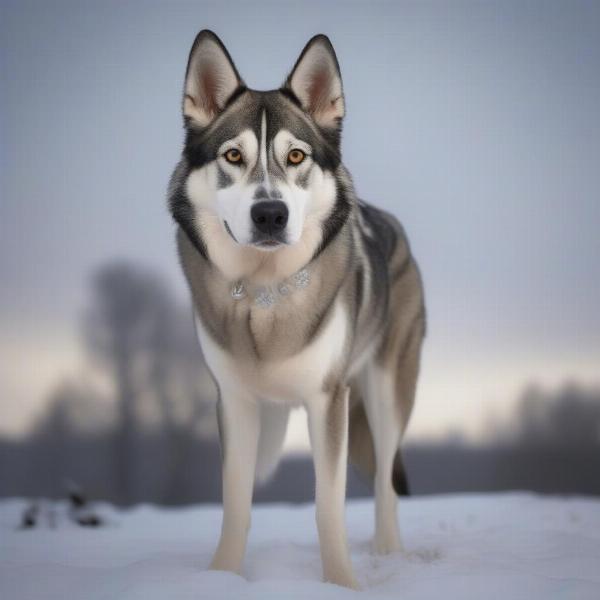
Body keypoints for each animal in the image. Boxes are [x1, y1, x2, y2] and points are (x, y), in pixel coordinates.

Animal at [166, 30, 424, 588]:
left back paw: (389, 553)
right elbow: (235, 503)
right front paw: (221, 577)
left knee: (387, 486)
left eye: (298, 156)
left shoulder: (328, 399)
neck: (265, 296)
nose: (270, 213)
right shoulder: (234, 401)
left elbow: (328, 507)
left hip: (386, 392)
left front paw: (342, 584)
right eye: (233, 155)